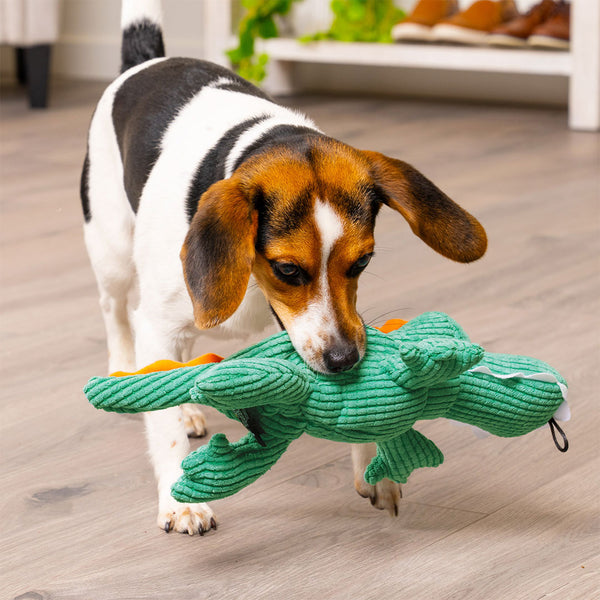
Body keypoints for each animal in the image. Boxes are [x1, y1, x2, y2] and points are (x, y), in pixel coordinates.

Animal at [82, 0, 486, 536]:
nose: (343, 360)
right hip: (110, 249)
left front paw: (372, 465)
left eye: (363, 261)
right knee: (115, 312)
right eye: (288, 270)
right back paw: (127, 371)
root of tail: (145, 60)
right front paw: (179, 499)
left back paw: (188, 405)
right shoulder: (158, 320)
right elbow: (163, 425)